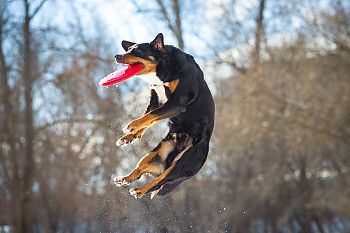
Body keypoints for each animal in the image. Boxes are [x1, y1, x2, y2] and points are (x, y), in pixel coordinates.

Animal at [113, 33, 215, 198]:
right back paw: (124, 179)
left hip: (181, 164)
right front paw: (129, 137)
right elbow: (148, 118)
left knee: (159, 181)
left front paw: (131, 126)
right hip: (156, 154)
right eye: (128, 49)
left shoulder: (176, 103)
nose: (117, 56)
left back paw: (139, 191)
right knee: (139, 171)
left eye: (138, 51)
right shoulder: (156, 100)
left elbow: (149, 117)